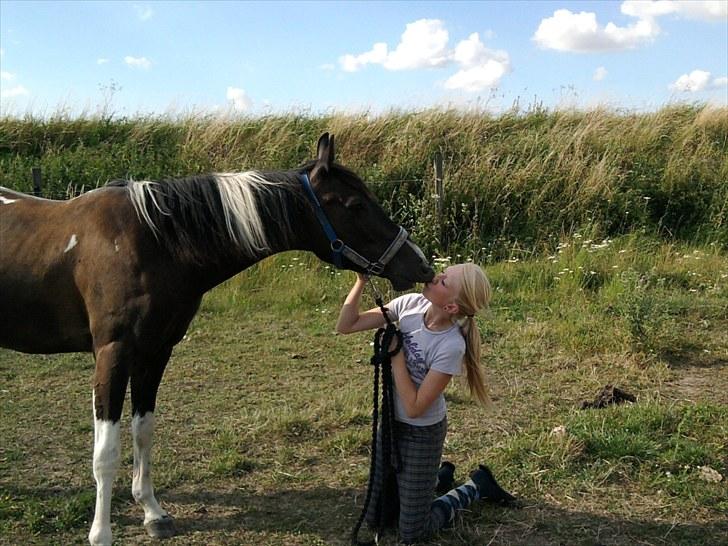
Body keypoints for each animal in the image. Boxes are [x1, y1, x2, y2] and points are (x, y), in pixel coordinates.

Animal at [0, 133, 434, 545]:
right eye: (354, 204)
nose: (421, 265)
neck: (151, 242)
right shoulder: (113, 355)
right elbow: (106, 453)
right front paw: (101, 534)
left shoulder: (155, 353)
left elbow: (144, 433)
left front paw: (152, 513)